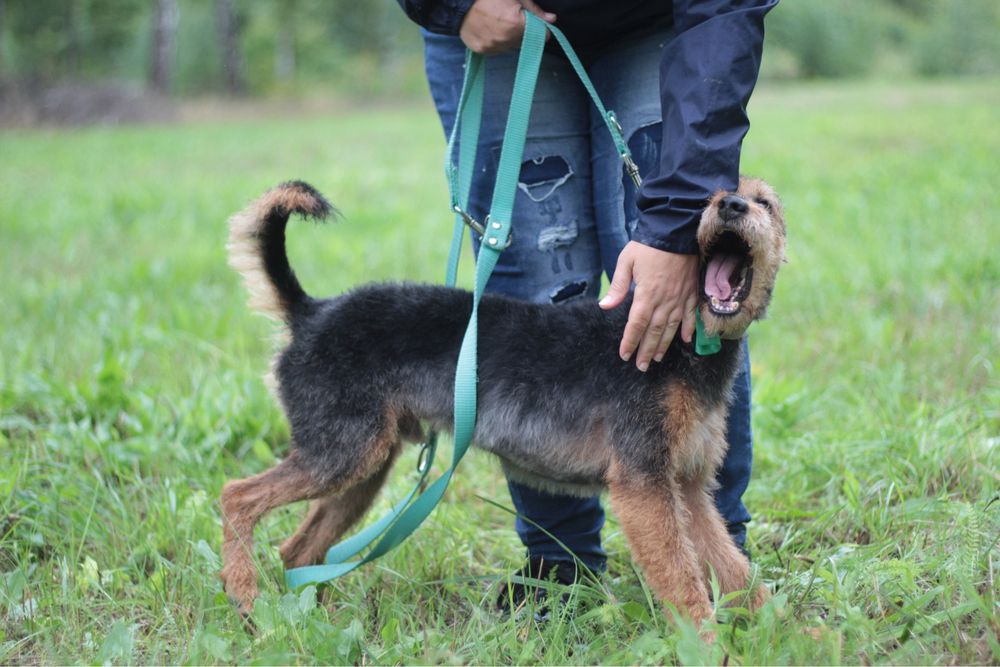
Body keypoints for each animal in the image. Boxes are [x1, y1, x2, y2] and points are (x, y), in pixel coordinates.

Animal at [221, 176, 788, 628]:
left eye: (766, 203)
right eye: (704, 201)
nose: (732, 206)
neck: (685, 342)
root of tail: (310, 313)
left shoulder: (687, 487)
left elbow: (731, 565)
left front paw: (780, 631)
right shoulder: (643, 484)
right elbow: (681, 577)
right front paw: (708, 642)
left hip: (362, 466)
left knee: (299, 547)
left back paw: (308, 616)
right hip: (341, 453)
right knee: (237, 497)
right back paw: (247, 600)